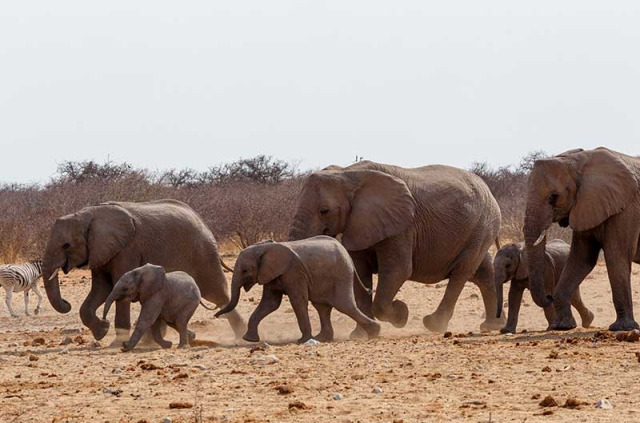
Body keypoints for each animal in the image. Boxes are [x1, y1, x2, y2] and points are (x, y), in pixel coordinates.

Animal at [42, 199, 245, 342]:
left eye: (66, 246)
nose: (67, 302)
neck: (85, 215)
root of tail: (201, 220)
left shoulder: (127, 249)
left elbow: (116, 287)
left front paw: (115, 341)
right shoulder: (100, 251)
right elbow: (102, 288)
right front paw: (102, 331)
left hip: (203, 254)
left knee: (217, 294)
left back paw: (242, 336)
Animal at [215, 236, 381, 343]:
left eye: (244, 271)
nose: (216, 315)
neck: (264, 247)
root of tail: (347, 254)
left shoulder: (294, 272)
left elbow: (297, 300)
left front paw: (303, 340)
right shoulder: (271, 274)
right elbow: (270, 303)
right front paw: (249, 339)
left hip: (341, 275)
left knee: (344, 305)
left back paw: (375, 333)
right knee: (322, 307)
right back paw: (322, 338)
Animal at [289, 160, 505, 334]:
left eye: (324, 211)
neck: (348, 173)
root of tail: (489, 191)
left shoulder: (402, 225)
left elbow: (398, 270)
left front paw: (402, 313)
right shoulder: (358, 222)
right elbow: (360, 273)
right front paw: (359, 336)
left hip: (482, 225)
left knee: (461, 273)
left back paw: (434, 325)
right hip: (479, 229)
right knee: (483, 271)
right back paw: (494, 325)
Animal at [523, 147, 640, 331]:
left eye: (553, 197)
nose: (549, 296)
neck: (577, 161)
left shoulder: (627, 208)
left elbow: (616, 255)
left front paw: (622, 328)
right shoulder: (584, 206)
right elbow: (581, 259)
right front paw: (563, 326)